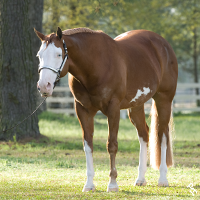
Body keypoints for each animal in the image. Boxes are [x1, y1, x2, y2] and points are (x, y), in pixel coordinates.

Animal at [34, 27, 178, 192]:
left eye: (58, 54)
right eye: (39, 55)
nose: (44, 86)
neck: (95, 65)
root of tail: (163, 44)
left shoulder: (113, 109)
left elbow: (112, 145)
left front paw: (113, 184)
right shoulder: (83, 111)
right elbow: (88, 145)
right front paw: (89, 184)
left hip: (164, 100)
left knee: (162, 135)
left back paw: (163, 179)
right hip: (136, 105)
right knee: (144, 134)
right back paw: (141, 179)